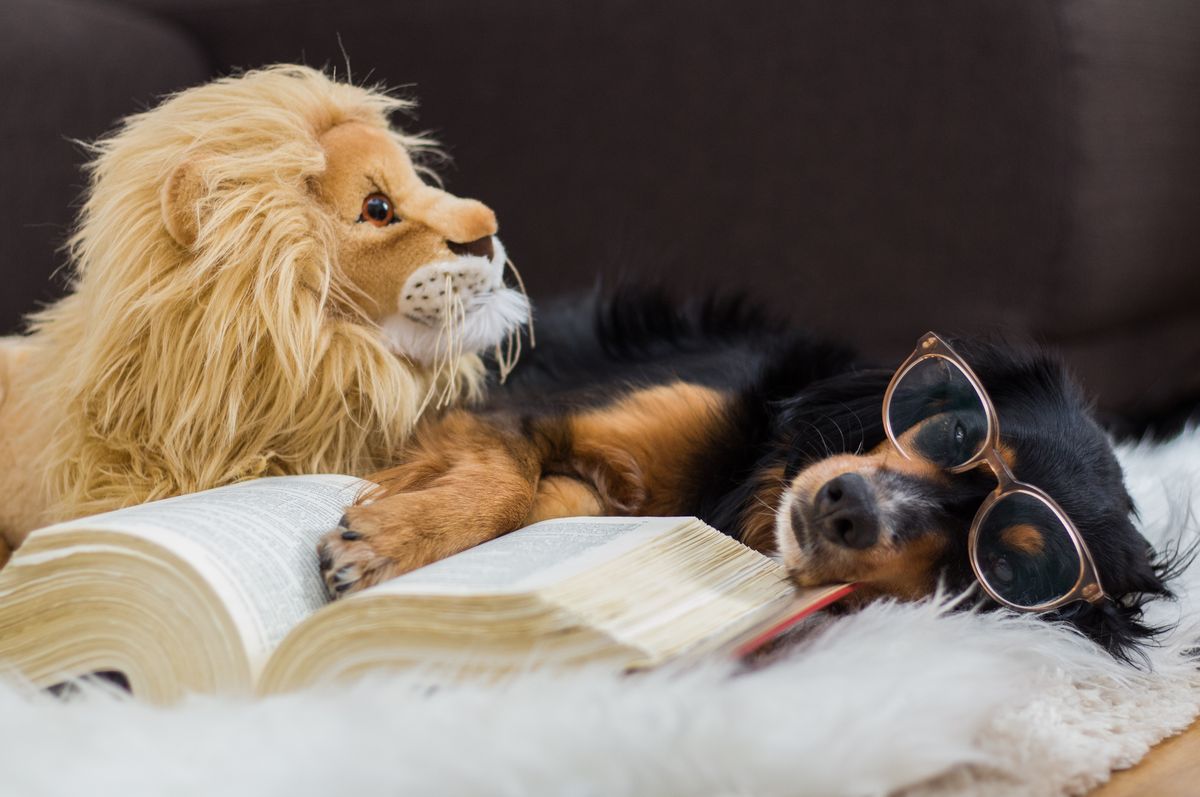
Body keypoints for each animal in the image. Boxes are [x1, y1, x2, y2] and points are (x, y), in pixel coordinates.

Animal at [316, 289, 1171, 657]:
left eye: (996, 565)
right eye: (961, 426)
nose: (844, 505)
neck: (745, 478)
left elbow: (532, 499)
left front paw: (390, 532)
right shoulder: (517, 408)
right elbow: (505, 481)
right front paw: (389, 539)